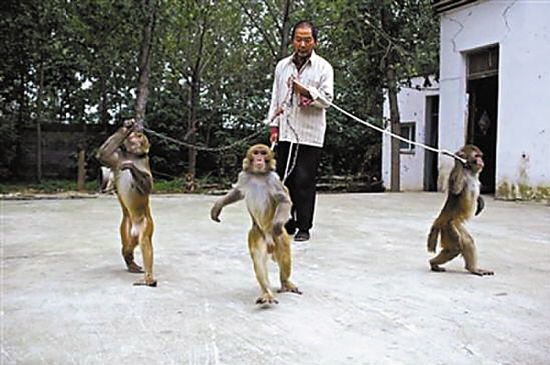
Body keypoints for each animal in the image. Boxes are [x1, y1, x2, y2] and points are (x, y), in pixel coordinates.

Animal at [96, 118, 157, 286]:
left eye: (140, 137)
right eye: (136, 135)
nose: (135, 135)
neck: (133, 155)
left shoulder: (144, 161)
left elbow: (148, 187)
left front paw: (131, 167)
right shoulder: (118, 157)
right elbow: (103, 156)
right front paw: (126, 126)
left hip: (146, 224)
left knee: (144, 242)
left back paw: (148, 277)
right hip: (126, 226)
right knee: (127, 247)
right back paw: (130, 262)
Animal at [211, 144, 304, 302]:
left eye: (263, 153)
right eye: (256, 153)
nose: (259, 159)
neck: (258, 175)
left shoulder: (274, 178)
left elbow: (283, 200)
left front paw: (277, 225)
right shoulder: (243, 176)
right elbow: (237, 192)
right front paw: (218, 205)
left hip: (275, 237)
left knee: (283, 251)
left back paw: (285, 282)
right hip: (257, 232)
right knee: (258, 257)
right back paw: (266, 292)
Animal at [426, 144, 496, 274]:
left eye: (480, 156)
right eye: (476, 156)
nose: (481, 161)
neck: (469, 171)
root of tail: (440, 219)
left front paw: (480, 200)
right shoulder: (458, 174)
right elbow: (456, 189)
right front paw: (458, 159)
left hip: (455, 225)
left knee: (467, 241)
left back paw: (472, 268)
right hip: (449, 226)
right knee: (455, 248)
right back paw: (434, 263)